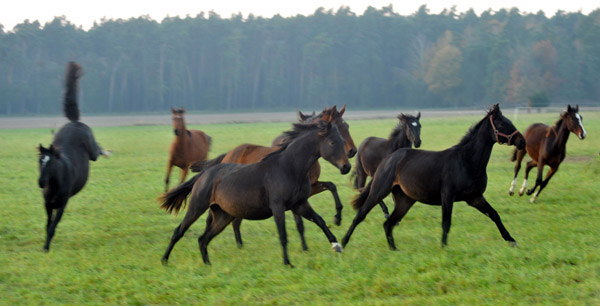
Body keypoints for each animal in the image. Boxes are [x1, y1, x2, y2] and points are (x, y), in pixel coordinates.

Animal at [36, 62, 109, 251]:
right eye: (39, 161)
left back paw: (106, 152)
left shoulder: (62, 204)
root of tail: (75, 122)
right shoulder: (48, 204)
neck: (55, 182)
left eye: (51, 163)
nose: (41, 182)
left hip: (92, 152)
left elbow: (53, 226)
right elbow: (47, 225)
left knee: (97, 150)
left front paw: (47, 247)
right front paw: (45, 246)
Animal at [159, 120, 352, 266]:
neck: (289, 168)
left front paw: (337, 245)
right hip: (197, 207)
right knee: (179, 231)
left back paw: (208, 264)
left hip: (222, 216)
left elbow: (320, 221)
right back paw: (165, 260)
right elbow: (283, 235)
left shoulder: (300, 204)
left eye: (342, 141)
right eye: (332, 142)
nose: (346, 167)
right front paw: (287, 263)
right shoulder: (278, 207)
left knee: (203, 239)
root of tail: (205, 174)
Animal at [342, 104, 524, 250]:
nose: (522, 141)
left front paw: (511, 240)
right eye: (502, 123)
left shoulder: (475, 197)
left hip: (405, 200)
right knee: (361, 215)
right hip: (379, 190)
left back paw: (394, 249)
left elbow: (494, 214)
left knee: (388, 224)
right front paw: (443, 248)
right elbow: (446, 222)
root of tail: (388, 159)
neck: (467, 161)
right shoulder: (447, 195)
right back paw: (341, 244)